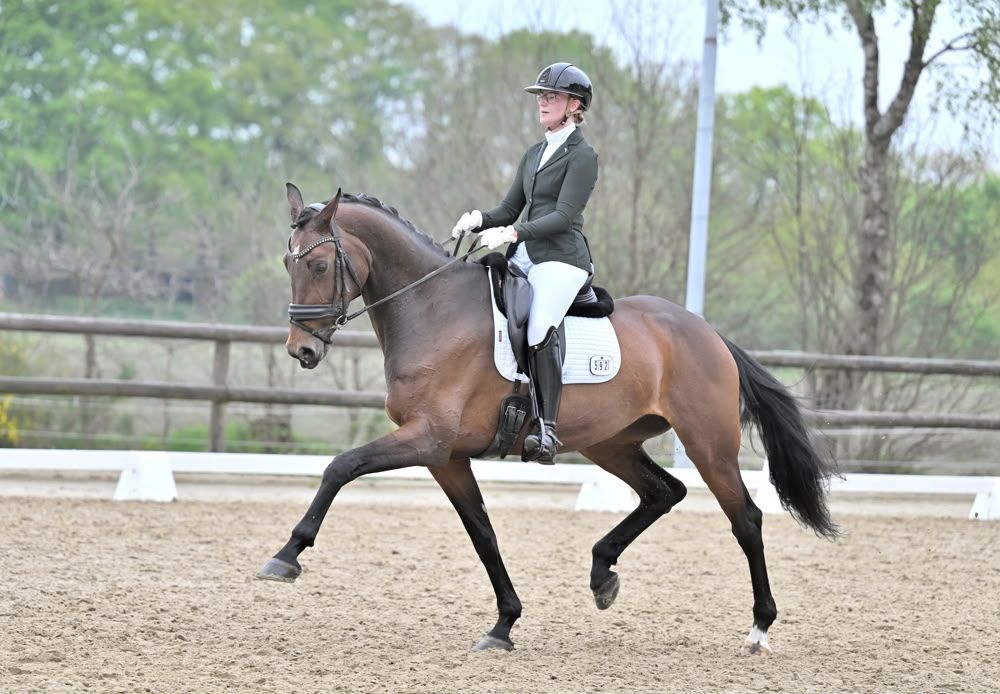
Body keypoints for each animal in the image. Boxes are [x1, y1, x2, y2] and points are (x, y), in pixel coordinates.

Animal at [255, 183, 838, 655]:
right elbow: (483, 534)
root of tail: (708, 333)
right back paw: (603, 574)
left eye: (319, 266)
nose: (302, 350)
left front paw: (286, 555)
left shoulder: (426, 439)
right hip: (611, 443)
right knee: (663, 492)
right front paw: (503, 626)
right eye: (286, 264)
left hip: (708, 445)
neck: (432, 309)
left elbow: (341, 466)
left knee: (746, 519)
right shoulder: (446, 457)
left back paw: (759, 629)